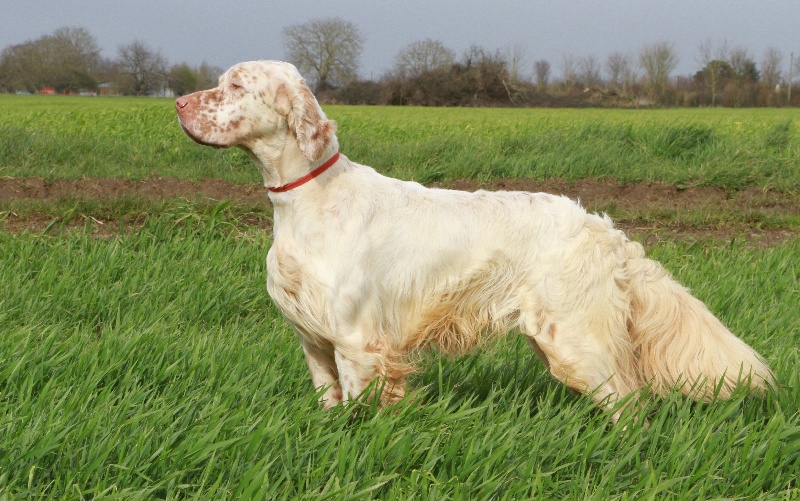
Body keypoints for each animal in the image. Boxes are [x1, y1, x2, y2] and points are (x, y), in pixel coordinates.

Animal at [177, 60, 776, 420]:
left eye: (235, 85)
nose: (179, 103)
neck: (309, 201)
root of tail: (603, 229)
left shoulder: (357, 341)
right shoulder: (315, 343)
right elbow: (331, 405)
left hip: (575, 341)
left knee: (629, 404)